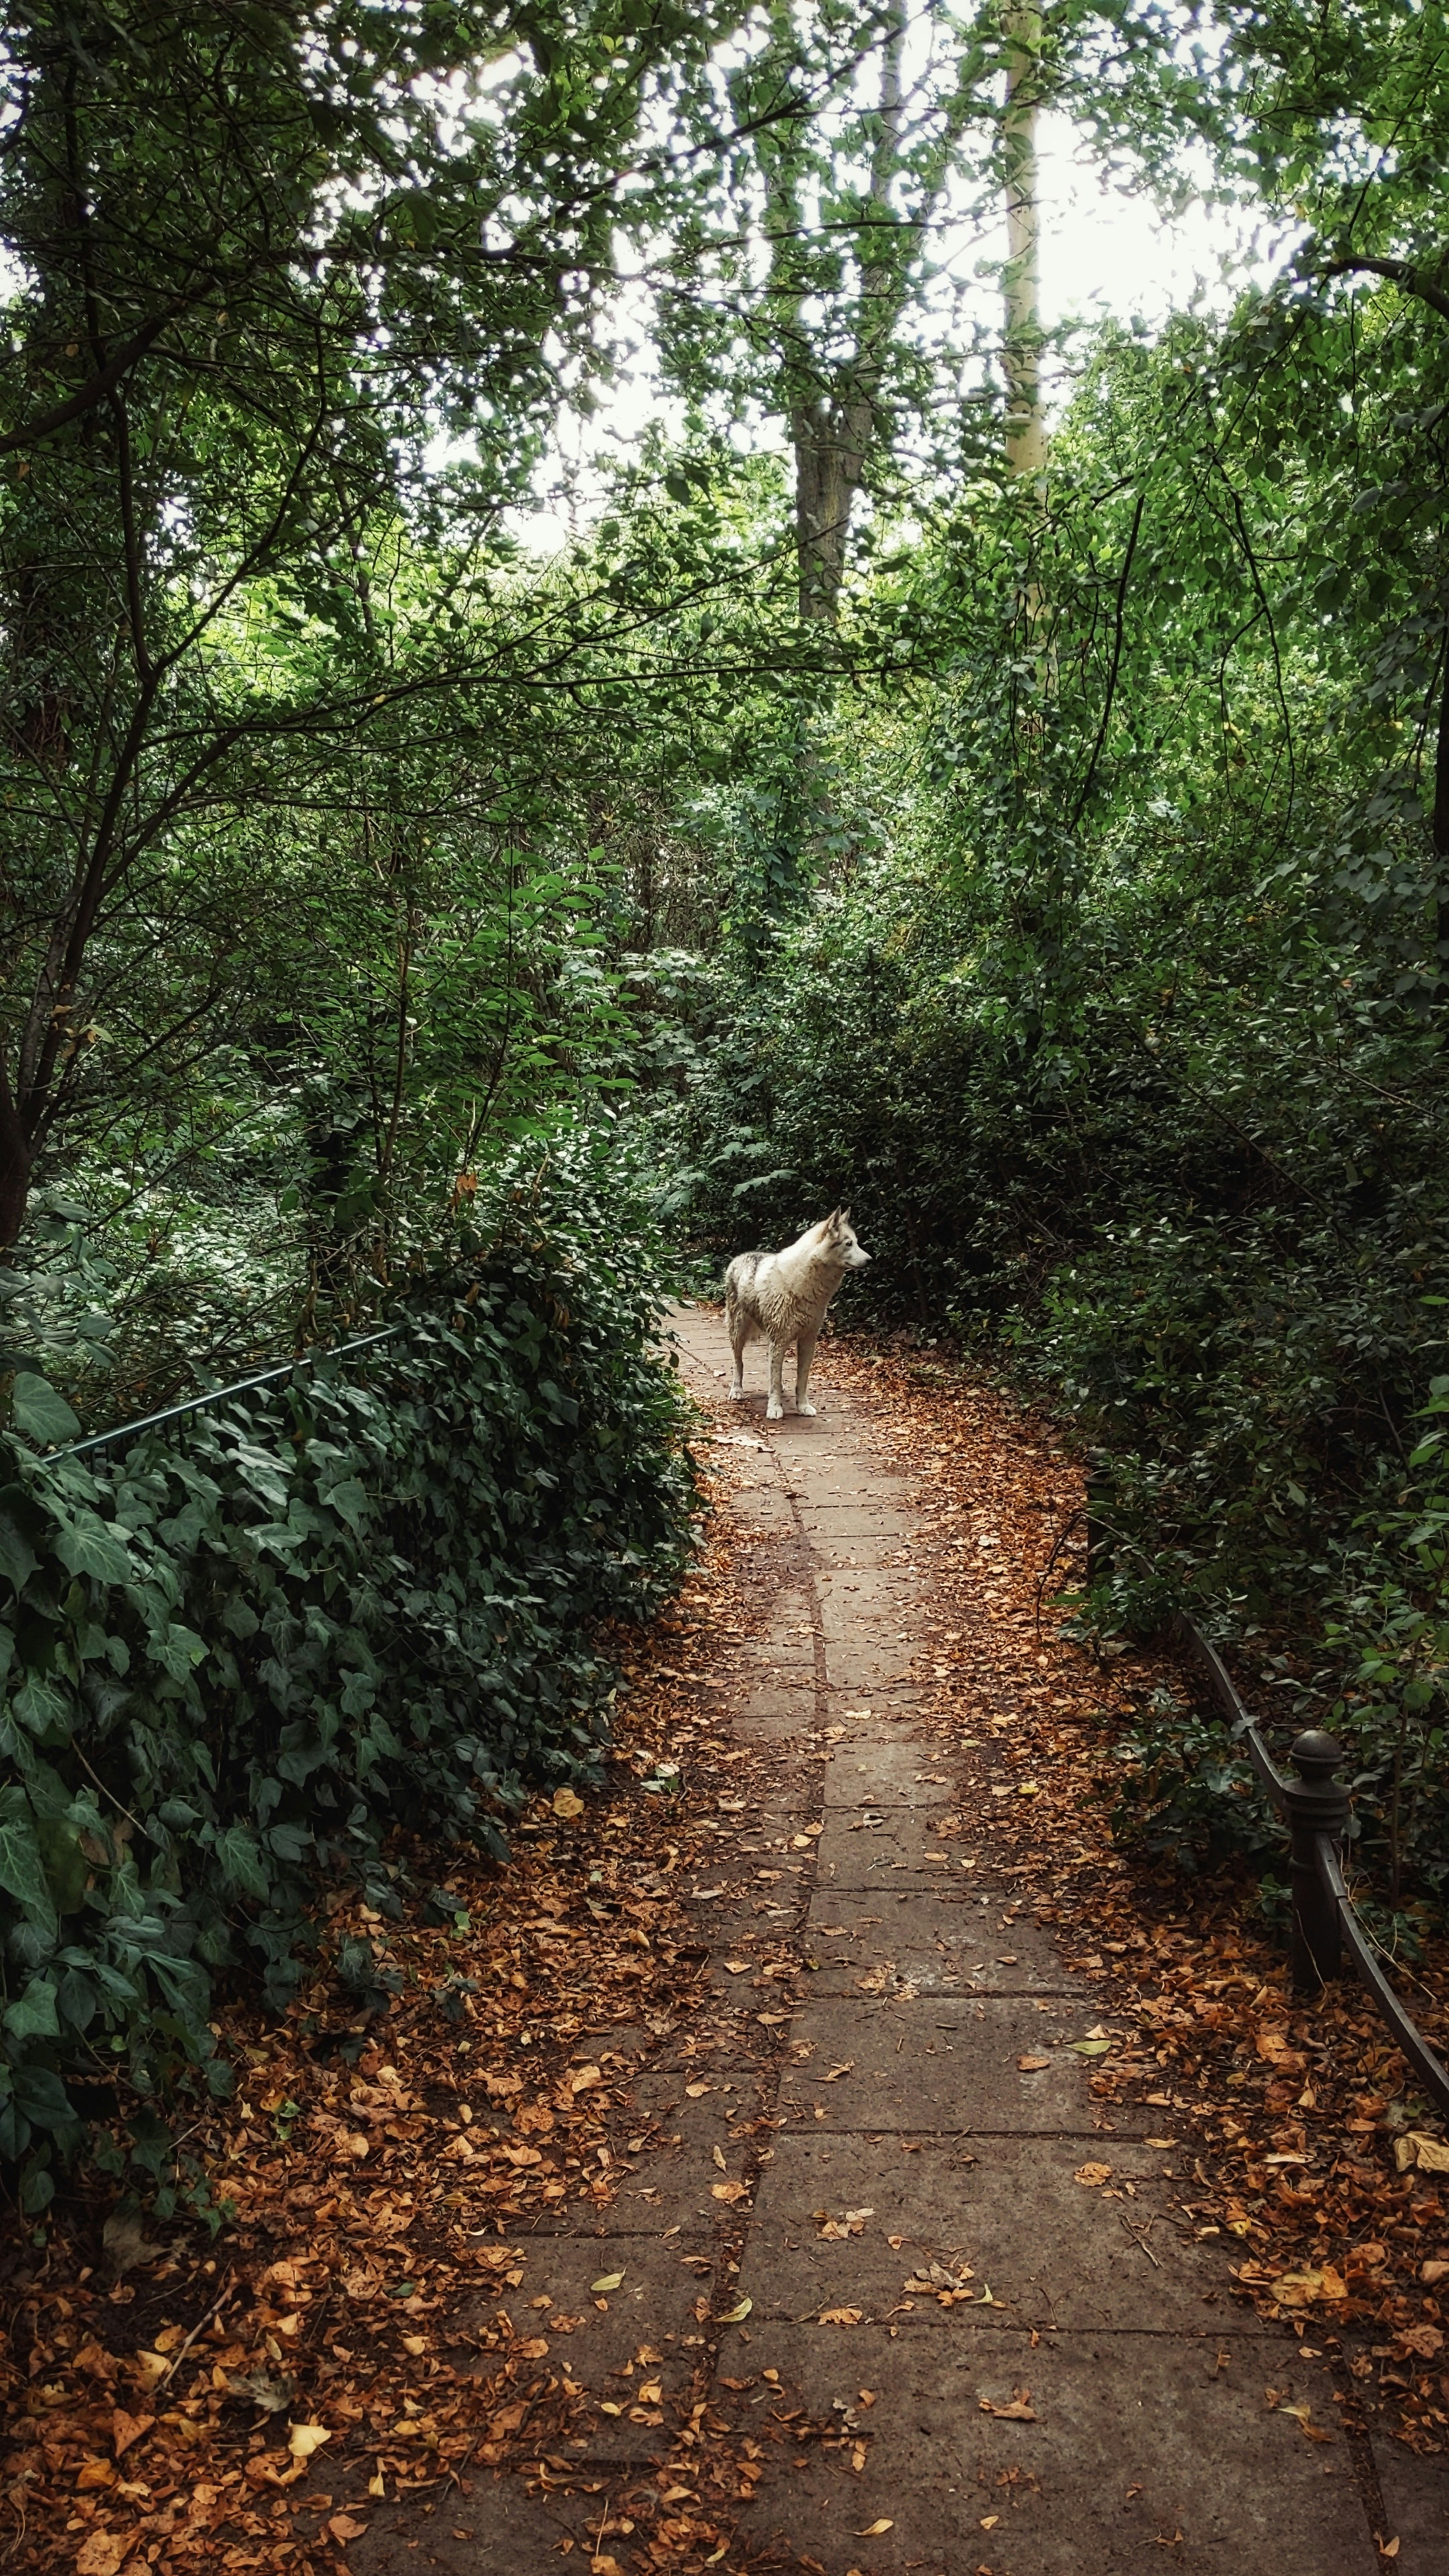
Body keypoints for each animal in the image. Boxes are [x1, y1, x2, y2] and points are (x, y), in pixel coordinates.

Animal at [722, 1210, 866, 1421]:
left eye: (857, 1242)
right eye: (848, 1244)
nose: (871, 1260)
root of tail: (741, 1256)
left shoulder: (808, 1340)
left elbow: (801, 1380)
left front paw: (803, 1407)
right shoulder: (779, 1339)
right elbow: (774, 1378)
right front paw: (774, 1409)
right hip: (739, 1332)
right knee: (738, 1362)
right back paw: (737, 1391)